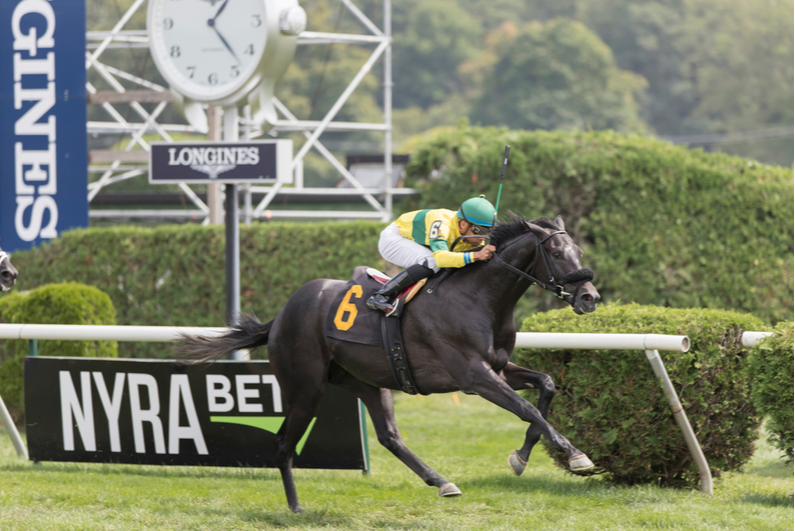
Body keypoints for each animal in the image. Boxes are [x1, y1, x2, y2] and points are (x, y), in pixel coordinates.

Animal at [179, 214, 604, 512]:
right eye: (556, 253)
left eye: (580, 253)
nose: (589, 298)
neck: (480, 297)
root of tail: (282, 315)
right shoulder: (473, 376)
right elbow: (526, 407)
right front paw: (575, 454)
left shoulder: (498, 368)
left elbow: (545, 385)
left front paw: (522, 456)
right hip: (306, 388)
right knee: (284, 443)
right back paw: (296, 507)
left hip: (367, 381)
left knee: (389, 436)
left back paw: (441, 481)